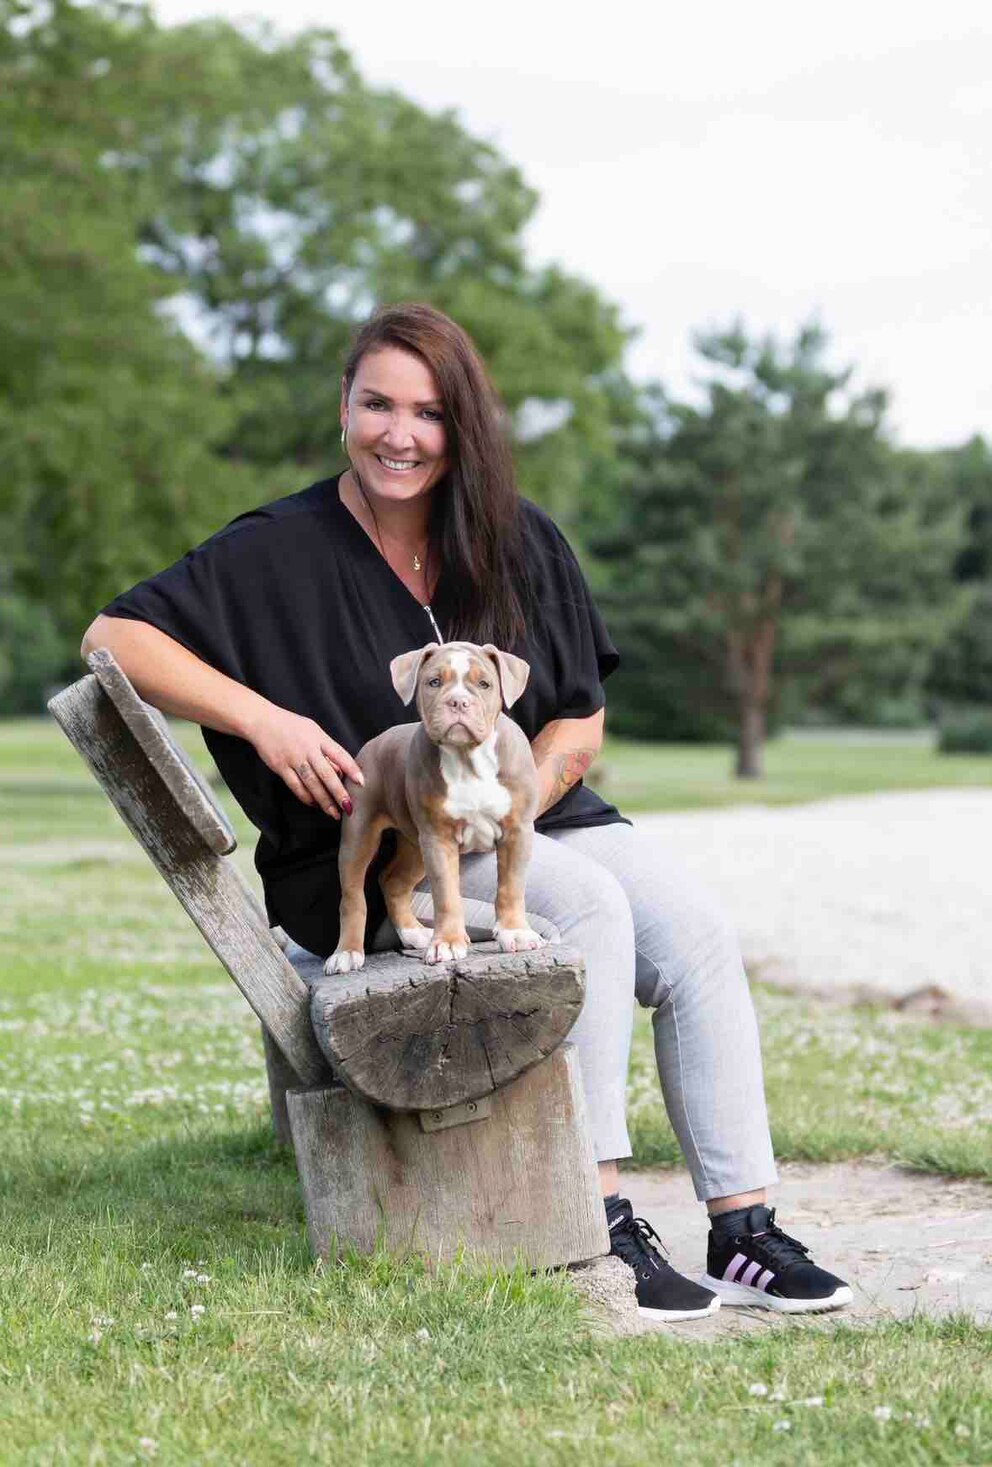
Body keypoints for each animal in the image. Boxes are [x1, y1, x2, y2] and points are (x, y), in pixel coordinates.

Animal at [325, 642, 545, 974]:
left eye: (484, 684)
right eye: (434, 682)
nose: (458, 701)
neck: (468, 759)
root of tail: (375, 742)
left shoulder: (517, 831)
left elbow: (511, 886)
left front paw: (515, 933)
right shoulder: (438, 840)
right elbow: (446, 895)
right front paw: (449, 942)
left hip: (414, 845)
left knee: (393, 881)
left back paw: (414, 933)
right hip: (359, 833)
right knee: (352, 895)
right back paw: (347, 952)